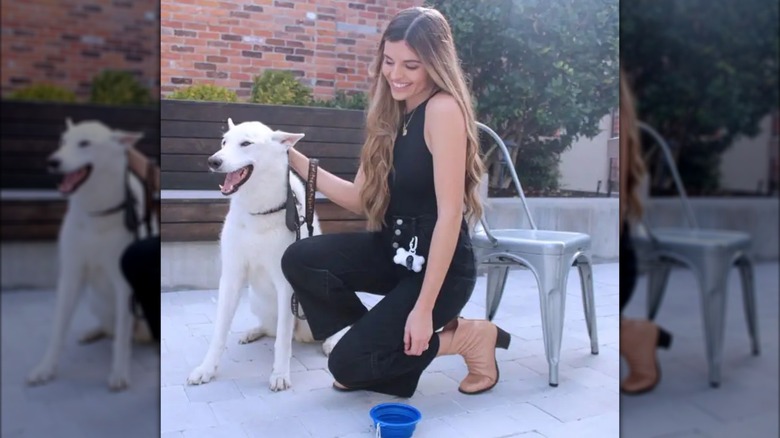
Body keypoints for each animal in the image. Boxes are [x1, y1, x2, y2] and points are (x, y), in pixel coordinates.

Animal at [26, 118, 154, 392]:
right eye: (63, 141)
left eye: (84, 143)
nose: (52, 161)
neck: (97, 211)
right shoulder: (71, 275)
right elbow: (58, 328)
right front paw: (45, 368)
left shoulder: (123, 283)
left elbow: (121, 341)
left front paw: (119, 372)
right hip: (97, 302)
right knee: (111, 328)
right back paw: (94, 332)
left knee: (127, 333)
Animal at [184, 117, 346, 390]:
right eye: (224, 142)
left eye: (246, 143)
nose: (213, 161)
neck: (258, 210)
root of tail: (302, 334)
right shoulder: (231, 277)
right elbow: (219, 333)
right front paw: (206, 369)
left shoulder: (285, 284)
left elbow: (282, 340)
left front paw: (280, 373)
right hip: (257, 301)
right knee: (271, 328)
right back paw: (253, 332)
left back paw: (331, 342)